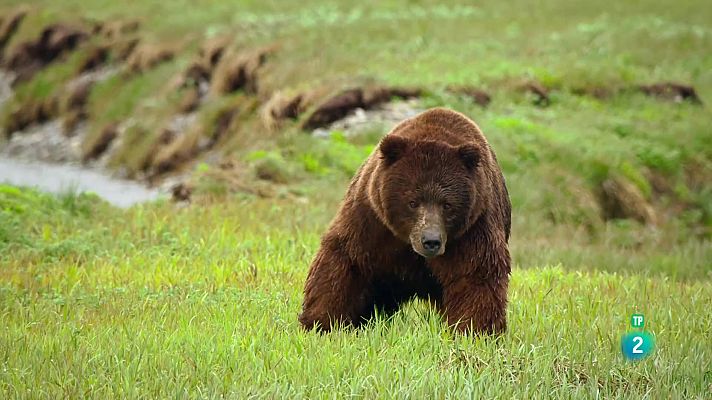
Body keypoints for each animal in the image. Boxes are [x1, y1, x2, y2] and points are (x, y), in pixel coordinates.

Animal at [298, 107, 508, 334]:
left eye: (447, 204)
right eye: (413, 202)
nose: (431, 241)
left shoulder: (472, 227)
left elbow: (475, 274)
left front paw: (475, 330)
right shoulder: (371, 218)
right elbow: (346, 260)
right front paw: (321, 322)